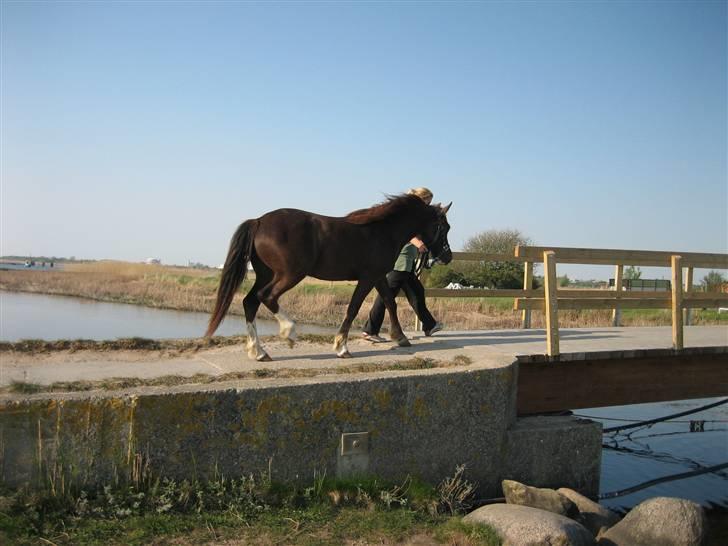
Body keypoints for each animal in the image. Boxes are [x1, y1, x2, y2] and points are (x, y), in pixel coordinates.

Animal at [205, 193, 452, 360]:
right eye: (445, 227)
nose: (447, 256)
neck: (383, 231)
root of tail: (258, 221)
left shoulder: (379, 276)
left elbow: (389, 302)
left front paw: (400, 337)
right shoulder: (367, 278)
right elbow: (353, 308)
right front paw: (341, 346)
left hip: (266, 274)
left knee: (250, 302)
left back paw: (259, 351)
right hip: (290, 274)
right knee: (267, 297)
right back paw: (289, 333)